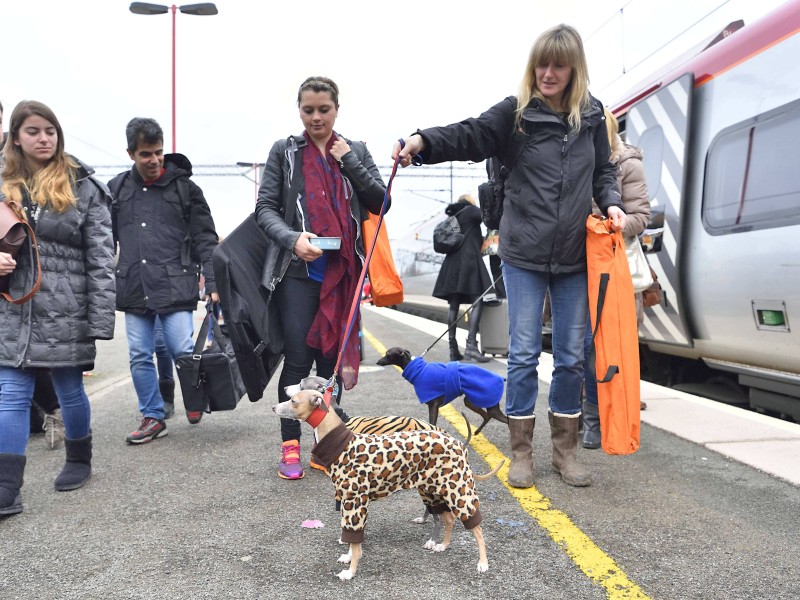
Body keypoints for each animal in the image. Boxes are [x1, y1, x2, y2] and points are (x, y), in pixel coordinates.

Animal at [376, 346, 506, 436]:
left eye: (388, 355)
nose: (378, 362)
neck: (418, 370)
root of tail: (501, 378)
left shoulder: (434, 404)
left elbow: (432, 423)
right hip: (471, 401)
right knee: (487, 416)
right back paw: (477, 431)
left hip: (488, 405)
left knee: (505, 420)